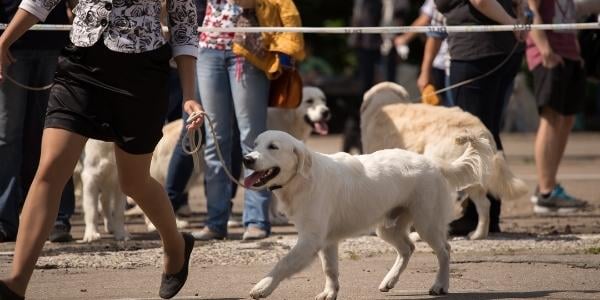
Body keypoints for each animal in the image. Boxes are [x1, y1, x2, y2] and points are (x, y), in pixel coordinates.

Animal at [244, 131, 492, 298]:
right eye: (255, 144)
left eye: (273, 147)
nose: (247, 159)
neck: (302, 180)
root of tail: (434, 164)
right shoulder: (326, 240)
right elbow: (330, 269)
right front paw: (330, 292)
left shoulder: (310, 239)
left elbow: (283, 263)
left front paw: (263, 286)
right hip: (387, 227)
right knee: (408, 248)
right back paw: (389, 280)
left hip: (426, 223)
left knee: (444, 250)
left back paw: (440, 285)